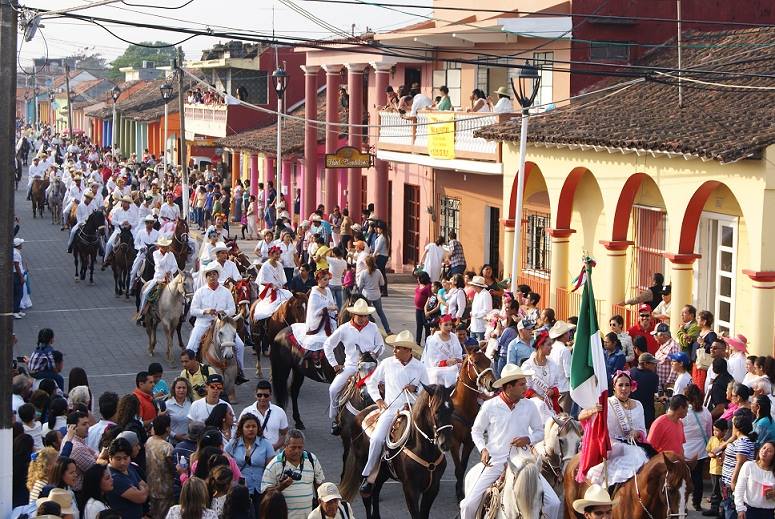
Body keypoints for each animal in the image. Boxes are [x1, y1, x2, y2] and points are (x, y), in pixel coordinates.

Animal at [340, 384, 454, 519]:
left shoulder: (433, 488)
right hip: (362, 467)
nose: (445, 443)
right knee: (367, 497)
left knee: (376, 492)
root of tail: (360, 414)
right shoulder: (410, 489)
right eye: (436, 411)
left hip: (381, 472)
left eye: (452, 410)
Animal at [448, 352, 498, 502]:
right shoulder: (454, 442)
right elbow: (458, 469)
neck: (463, 407)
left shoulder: (469, 442)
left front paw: (460, 491)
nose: (492, 383)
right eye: (475, 362)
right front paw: (459, 493)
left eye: (489, 361)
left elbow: (463, 467)